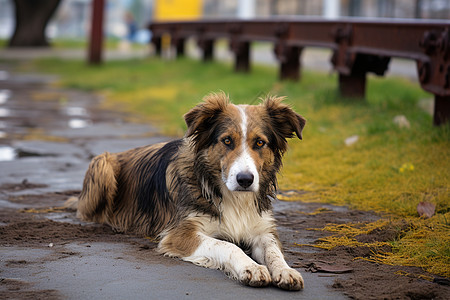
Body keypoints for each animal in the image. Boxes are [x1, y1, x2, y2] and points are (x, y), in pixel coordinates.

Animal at [69, 92, 306, 290]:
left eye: (259, 143)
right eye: (227, 140)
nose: (245, 180)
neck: (230, 195)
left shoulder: (262, 230)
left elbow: (273, 251)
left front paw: (286, 271)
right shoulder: (180, 234)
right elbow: (227, 246)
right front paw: (252, 267)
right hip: (102, 163)